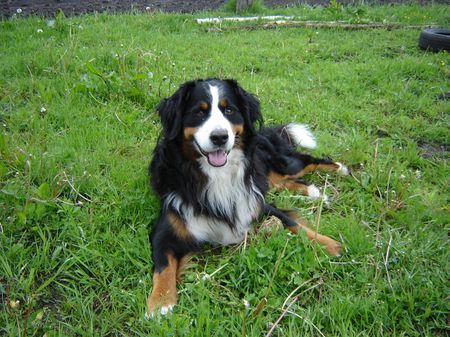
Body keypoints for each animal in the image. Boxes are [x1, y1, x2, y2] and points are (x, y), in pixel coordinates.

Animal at [146, 77, 350, 316]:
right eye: (199, 112)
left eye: (229, 110)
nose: (220, 137)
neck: (217, 175)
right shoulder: (167, 226)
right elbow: (164, 265)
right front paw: (160, 302)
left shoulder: (256, 203)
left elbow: (295, 224)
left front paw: (328, 244)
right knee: (280, 181)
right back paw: (314, 193)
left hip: (282, 163)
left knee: (308, 161)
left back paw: (339, 169)